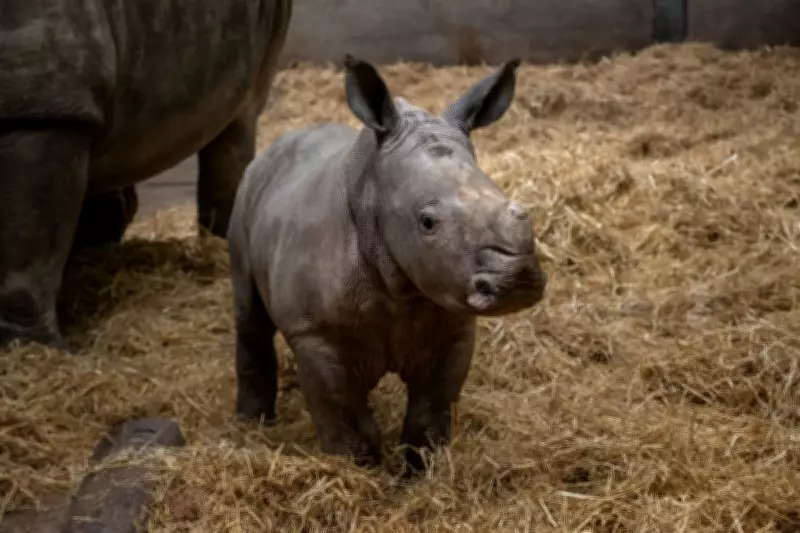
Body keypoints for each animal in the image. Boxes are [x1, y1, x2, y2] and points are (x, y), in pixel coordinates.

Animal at [227, 55, 548, 471]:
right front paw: (359, 470)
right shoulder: (313, 332)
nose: (518, 279)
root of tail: (275, 146)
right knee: (249, 313)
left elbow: (431, 411)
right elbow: (344, 416)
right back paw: (254, 425)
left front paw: (419, 472)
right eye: (427, 222)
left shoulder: (453, 326)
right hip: (246, 194)